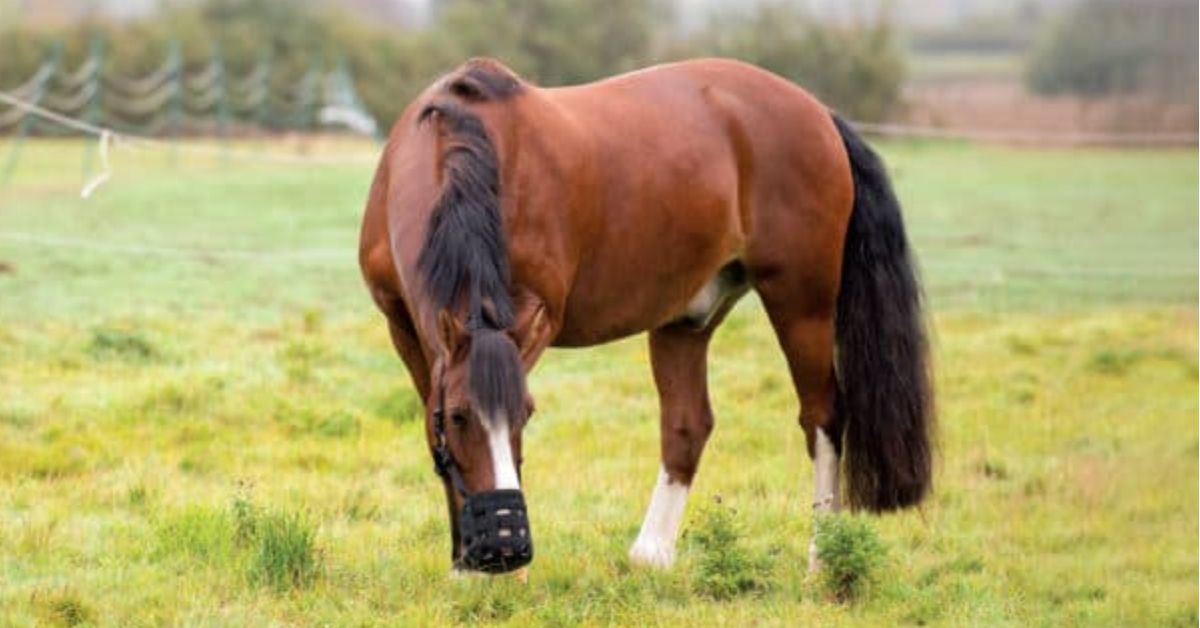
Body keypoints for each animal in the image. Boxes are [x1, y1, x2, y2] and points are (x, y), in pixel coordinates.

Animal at [358, 57, 933, 575]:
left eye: (527, 413)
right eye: (458, 417)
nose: (507, 549)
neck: (460, 146)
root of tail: (820, 114)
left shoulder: (530, 320)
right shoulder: (405, 328)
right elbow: (432, 433)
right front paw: (462, 563)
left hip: (801, 302)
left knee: (823, 416)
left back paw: (822, 559)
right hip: (688, 316)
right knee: (688, 424)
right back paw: (651, 556)